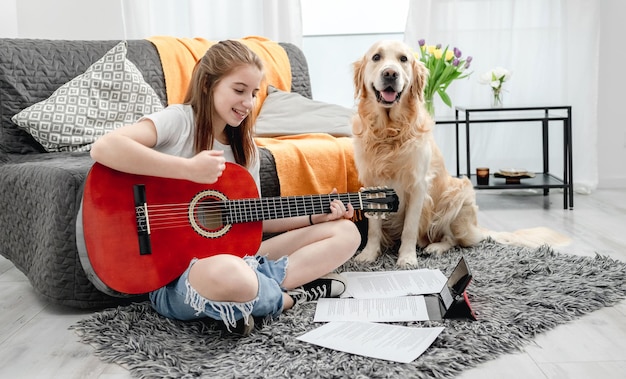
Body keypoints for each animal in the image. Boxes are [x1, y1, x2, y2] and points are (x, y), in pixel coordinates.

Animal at [348, 40, 568, 268]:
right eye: (376, 57)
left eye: (403, 59)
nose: (390, 73)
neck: (389, 132)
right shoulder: (372, 183)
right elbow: (374, 228)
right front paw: (369, 254)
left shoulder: (418, 186)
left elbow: (409, 228)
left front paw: (407, 258)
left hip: (459, 194)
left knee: (454, 240)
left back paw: (434, 248)